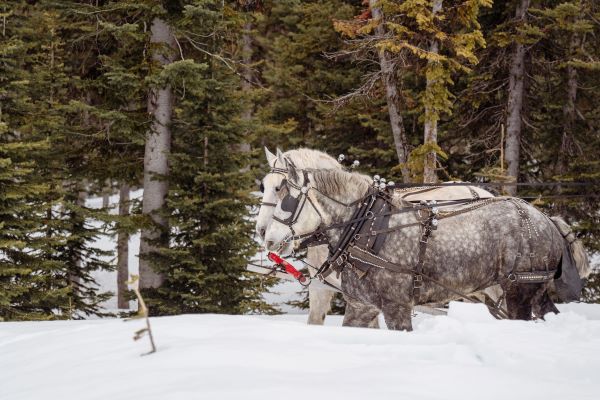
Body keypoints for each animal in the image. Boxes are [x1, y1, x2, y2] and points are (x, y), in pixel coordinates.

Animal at [264, 164, 580, 330]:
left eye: (286, 199)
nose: (267, 237)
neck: (367, 228)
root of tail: (546, 219)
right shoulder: (361, 306)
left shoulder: (397, 307)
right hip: (521, 293)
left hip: (520, 292)